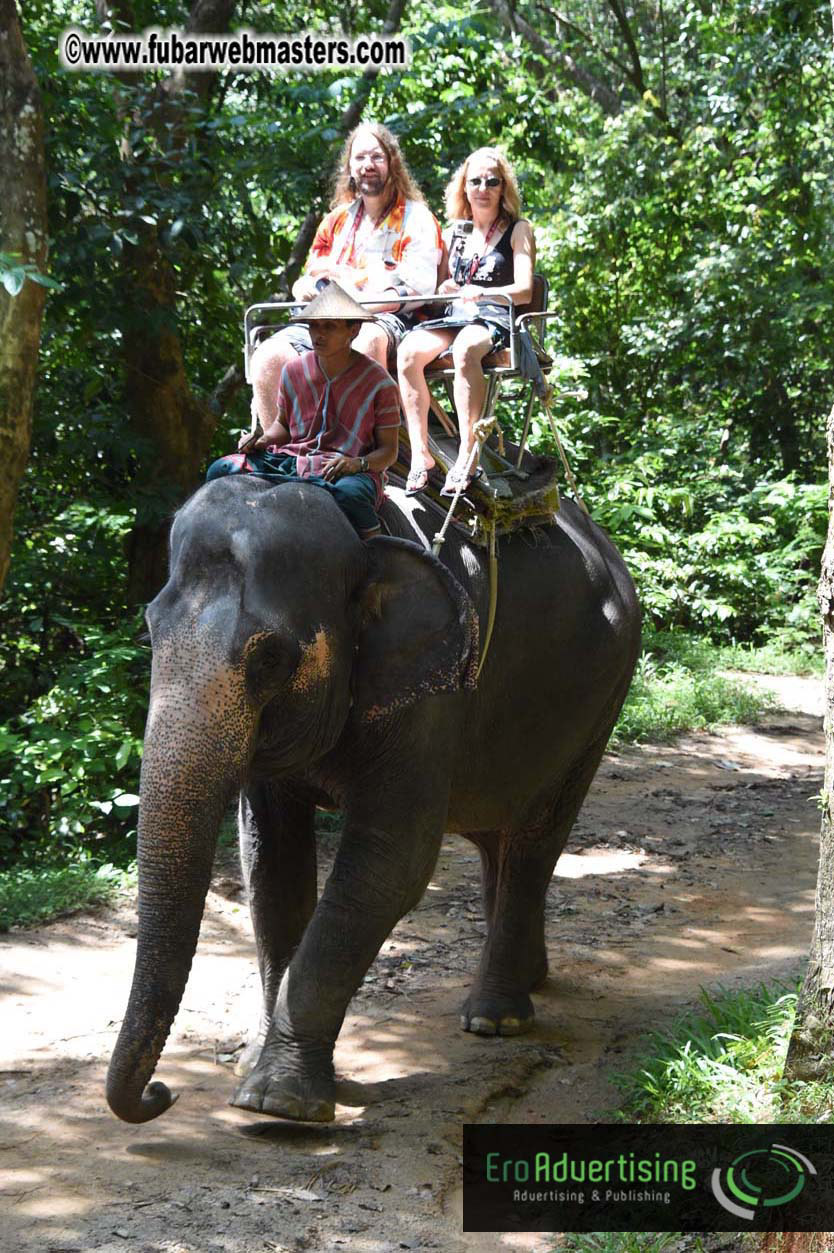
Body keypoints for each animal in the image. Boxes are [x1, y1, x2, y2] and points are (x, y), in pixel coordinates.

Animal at [106, 474, 640, 1125]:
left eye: (269, 657)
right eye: (150, 630)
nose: (161, 1093)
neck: (361, 538)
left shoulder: (434, 693)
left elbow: (390, 864)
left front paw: (277, 1101)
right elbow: (271, 865)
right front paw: (252, 1063)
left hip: (604, 697)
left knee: (537, 838)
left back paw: (495, 1018)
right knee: (500, 837)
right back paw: (528, 980)